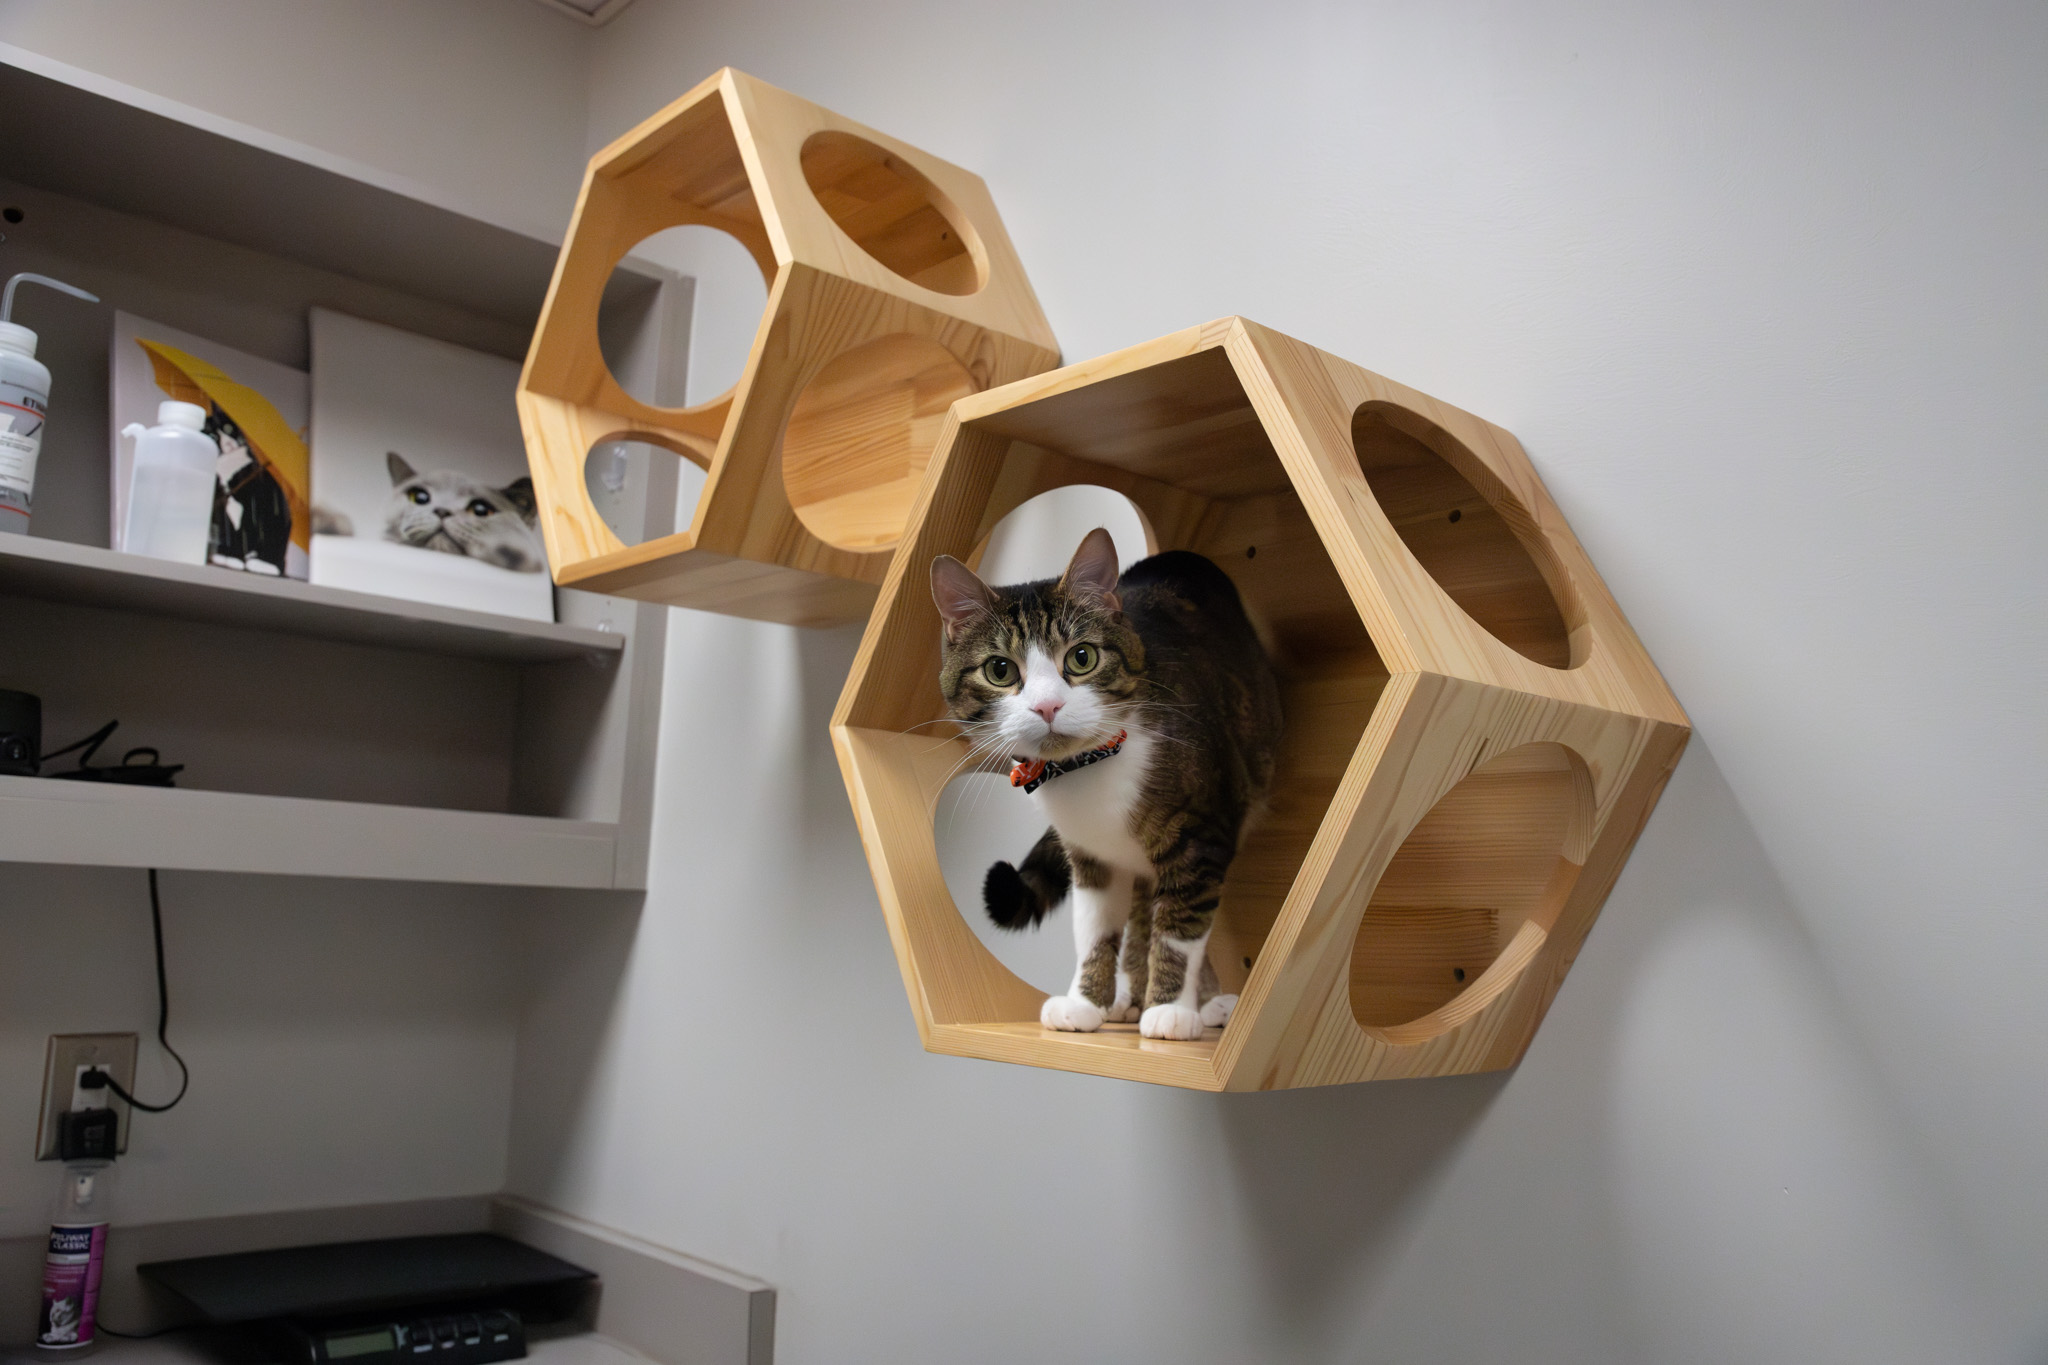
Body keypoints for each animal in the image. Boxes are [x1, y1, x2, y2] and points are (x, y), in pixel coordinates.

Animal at [933, 527, 1277, 1039]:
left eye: (1082, 658)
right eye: (999, 670)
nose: (1048, 706)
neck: (1084, 770)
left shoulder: (1201, 836)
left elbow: (1180, 929)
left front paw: (1171, 1008)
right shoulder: (1092, 858)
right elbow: (1094, 930)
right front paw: (1086, 1002)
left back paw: (1201, 1003)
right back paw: (1129, 997)